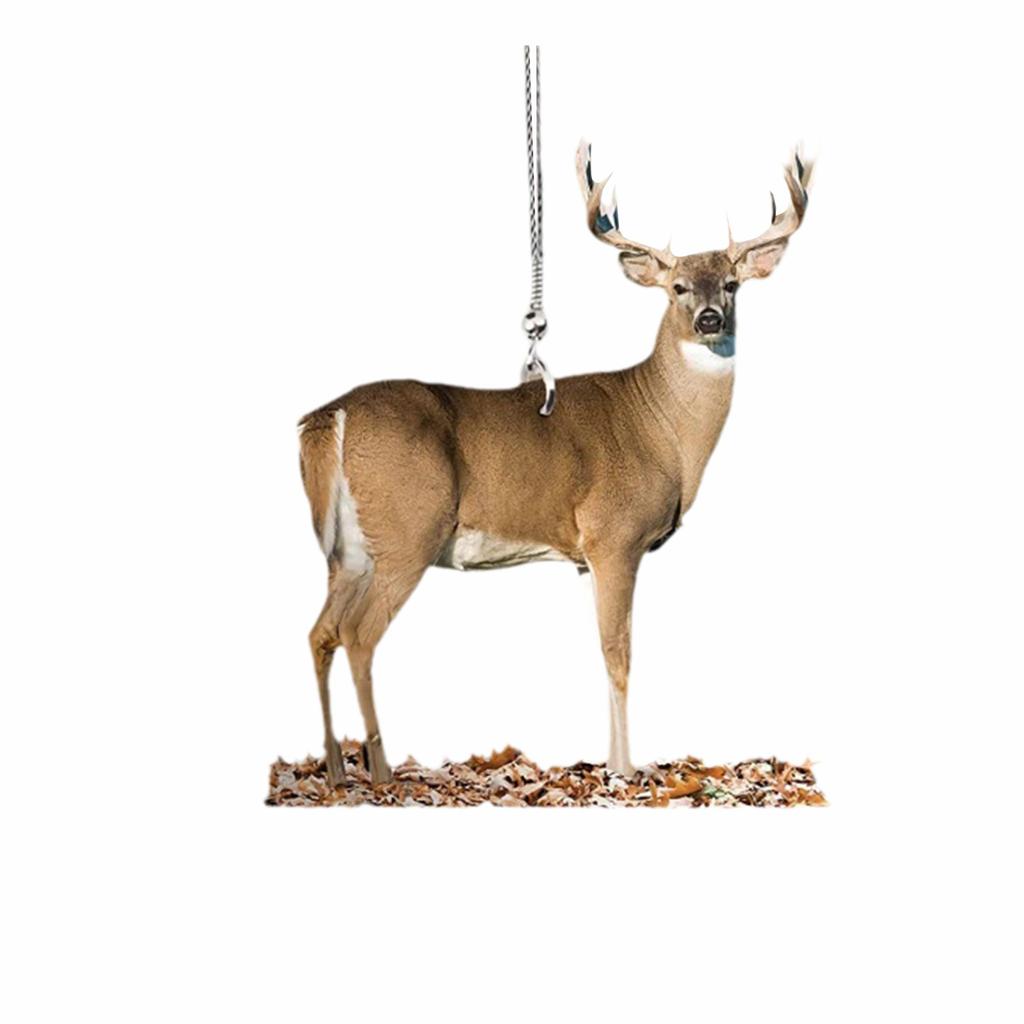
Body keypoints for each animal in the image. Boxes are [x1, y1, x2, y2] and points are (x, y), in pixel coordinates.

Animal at [298, 140, 812, 786]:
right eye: (676, 287)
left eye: (732, 284)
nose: (710, 319)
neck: (661, 428)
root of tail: (329, 418)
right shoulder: (614, 535)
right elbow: (618, 654)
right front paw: (624, 769)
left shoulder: (593, 552)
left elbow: (606, 651)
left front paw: (613, 762)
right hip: (409, 527)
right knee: (360, 635)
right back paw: (382, 769)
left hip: (347, 547)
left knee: (320, 632)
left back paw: (336, 767)